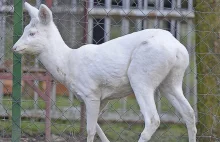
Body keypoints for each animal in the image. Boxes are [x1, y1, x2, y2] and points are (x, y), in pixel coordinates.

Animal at [12, 2, 197, 142]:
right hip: (171, 80)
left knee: (152, 119)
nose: (14, 47)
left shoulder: (91, 93)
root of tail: (178, 49)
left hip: (142, 76)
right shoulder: (104, 97)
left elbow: (90, 130)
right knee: (189, 113)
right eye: (25, 29)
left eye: (32, 33)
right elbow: (96, 124)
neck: (68, 65)